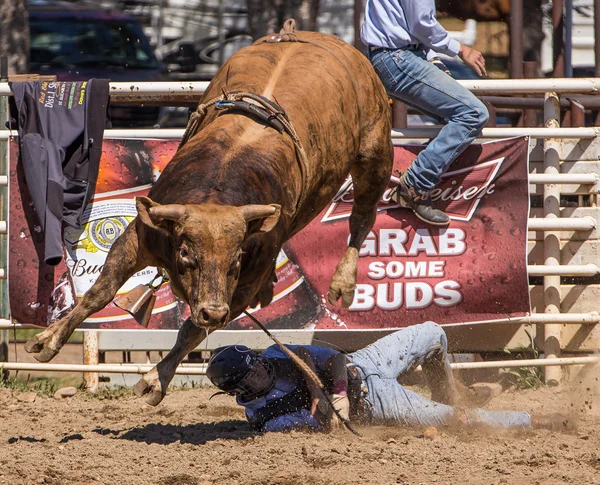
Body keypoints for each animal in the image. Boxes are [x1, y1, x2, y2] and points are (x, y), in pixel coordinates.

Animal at [23, 20, 394, 402]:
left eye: (236, 259)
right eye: (186, 253)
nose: (213, 311)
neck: (218, 189)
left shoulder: (246, 279)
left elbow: (191, 329)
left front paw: (156, 379)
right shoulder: (139, 236)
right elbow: (101, 291)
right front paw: (48, 339)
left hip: (375, 152)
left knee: (362, 216)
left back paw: (343, 282)